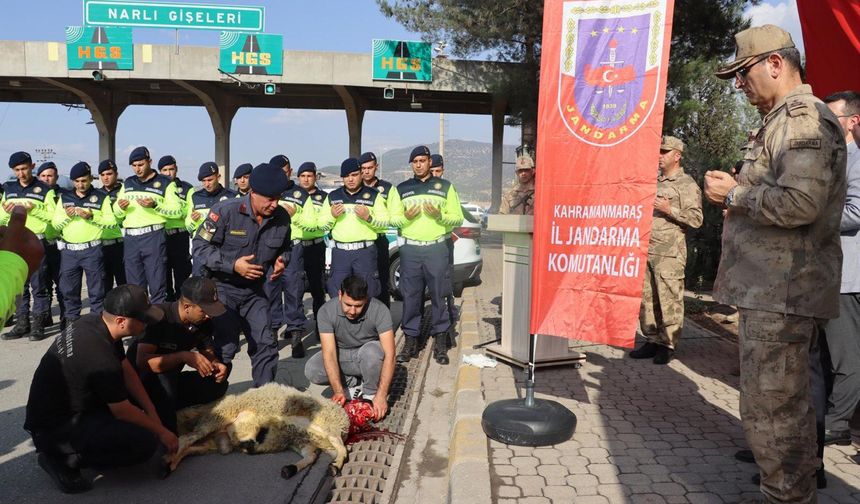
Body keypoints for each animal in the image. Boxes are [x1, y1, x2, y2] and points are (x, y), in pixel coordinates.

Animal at [163, 382, 352, 480]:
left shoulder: (303, 439)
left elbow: (315, 455)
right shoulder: (317, 426)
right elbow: (340, 447)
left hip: (215, 443)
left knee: (191, 445)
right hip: (218, 418)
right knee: (186, 439)